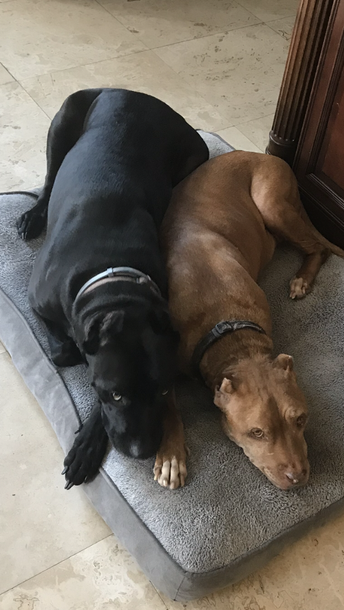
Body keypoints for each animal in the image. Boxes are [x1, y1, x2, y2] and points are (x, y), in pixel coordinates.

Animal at [17, 89, 208, 484]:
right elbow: (65, 352)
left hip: (195, 157)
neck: (113, 277)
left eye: (163, 390)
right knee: (48, 180)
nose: (142, 451)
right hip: (63, 120)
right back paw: (33, 215)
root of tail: (133, 92)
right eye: (116, 394)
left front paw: (89, 443)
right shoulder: (37, 301)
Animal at [154, 151, 344, 490]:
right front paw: (171, 456)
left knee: (318, 247)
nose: (297, 477)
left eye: (300, 419)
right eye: (257, 432)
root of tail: (261, 154)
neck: (231, 332)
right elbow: (168, 406)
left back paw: (301, 280)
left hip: (273, 204)